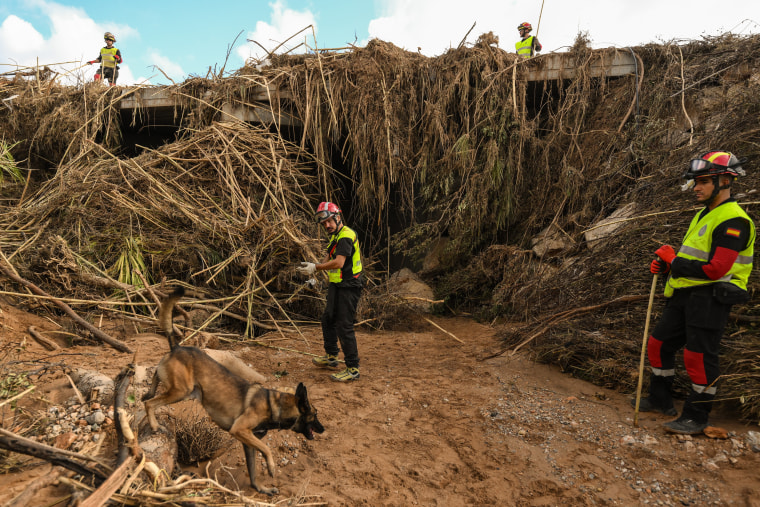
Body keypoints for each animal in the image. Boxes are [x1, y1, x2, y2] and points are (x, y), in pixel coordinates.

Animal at [143, 290, 324, 496]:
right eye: (315, 415)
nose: (323, 429)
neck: (274, 404)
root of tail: (177, 346)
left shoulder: (248, 442)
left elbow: (253, 471)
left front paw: (261, 488)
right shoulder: (240, 430)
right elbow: (266, 449)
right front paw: (271, 467)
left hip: (183, 390)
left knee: (155, 378)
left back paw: (149, 393)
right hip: (181, 391)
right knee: (150, 403)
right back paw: (154, 424)